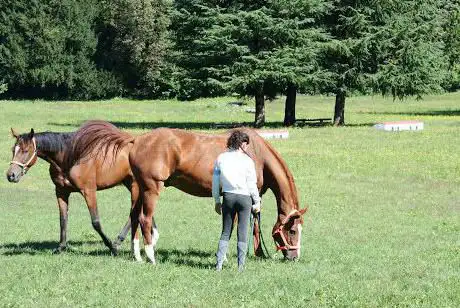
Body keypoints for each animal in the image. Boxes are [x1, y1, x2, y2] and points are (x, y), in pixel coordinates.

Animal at [5, 120, 158, 258]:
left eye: (25, 150)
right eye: (13, 150)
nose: (11, 175)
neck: (70, 156)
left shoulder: (89, 191)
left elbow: (95, 222)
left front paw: (111, 247)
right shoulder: (61, 192)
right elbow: (63, 219)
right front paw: (60, 247)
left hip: (134, 186)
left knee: (134, 214)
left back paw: (118, 242)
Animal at [129, 126, 308, 264]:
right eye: (293, 231)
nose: (294, 257)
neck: (257, 154)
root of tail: (137, 141)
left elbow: (255, 225)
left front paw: (259, 253)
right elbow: (236, 225)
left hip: (140, 189)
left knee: (134, 217)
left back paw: (137, 256)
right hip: (151, 189)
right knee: (144, 219)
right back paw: (151, 256)